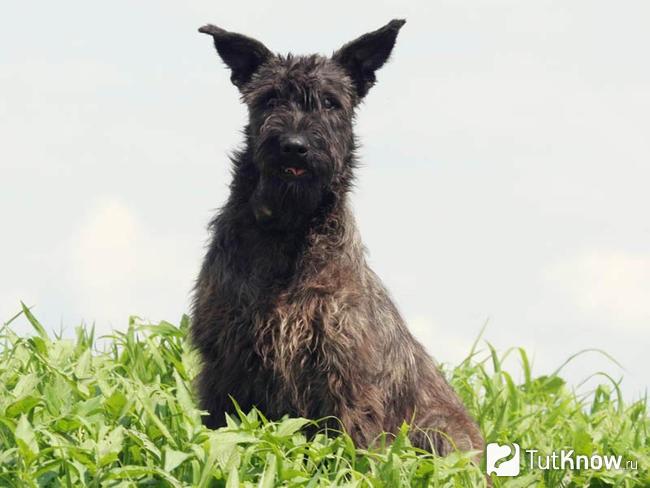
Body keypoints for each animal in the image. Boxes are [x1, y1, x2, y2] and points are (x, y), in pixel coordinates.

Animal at [189, 18, 480, 454]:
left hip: (438, 430)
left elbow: (352, 439)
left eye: (330, 102)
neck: (288, 236)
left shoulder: (344, 371)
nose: (294, 147)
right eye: (270, 99)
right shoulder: (224, 362)